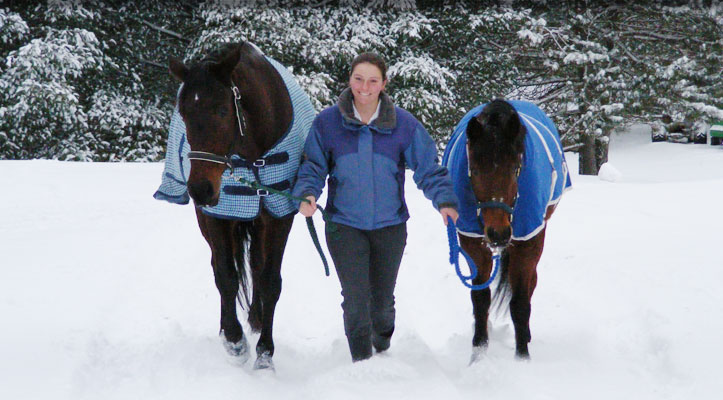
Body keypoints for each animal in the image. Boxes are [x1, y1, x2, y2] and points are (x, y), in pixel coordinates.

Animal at [166, 42, 310, 370]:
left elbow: (269, 280)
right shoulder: (217, 217)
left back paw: (255, 320)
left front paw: (265, 352)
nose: (200, 190)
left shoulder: (279, 216)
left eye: (222, 110)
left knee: (256, 265)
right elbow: (226, 276)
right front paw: (234, 340)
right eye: (183, 113)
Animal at [443, 99, 571, 361]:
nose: (498, 234)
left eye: (514, 169)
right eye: (475, 171)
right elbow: (480, 299)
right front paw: (478, 354)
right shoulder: (473, 243)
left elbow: (520, 302)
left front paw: (522, 357)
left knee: (531, 284)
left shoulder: (528, 241)